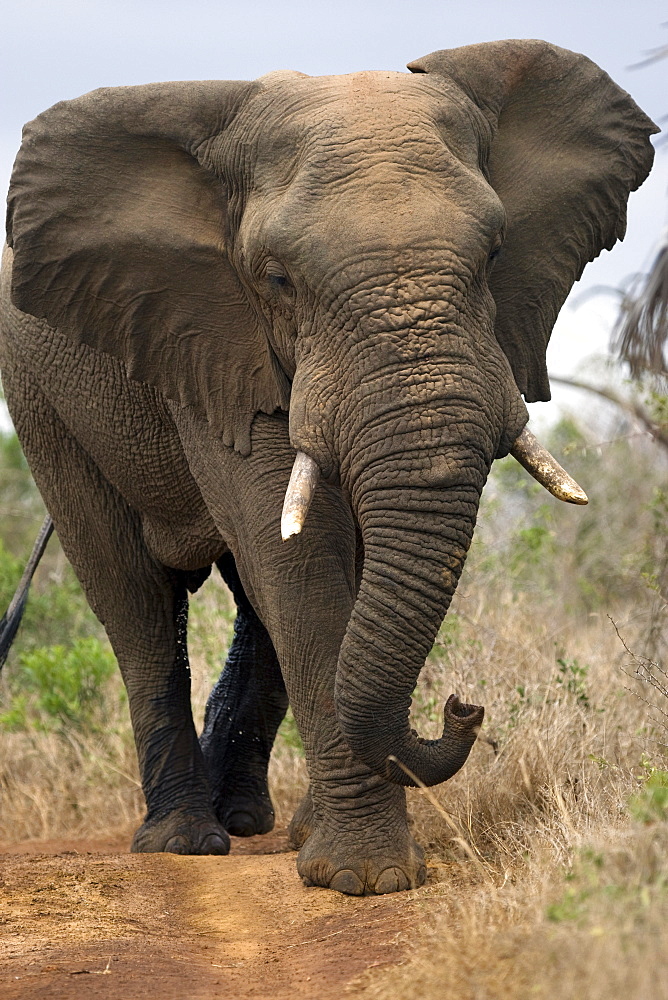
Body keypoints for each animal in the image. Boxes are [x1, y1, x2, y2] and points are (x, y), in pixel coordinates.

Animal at [0, 43, 656, 896]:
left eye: (495, 255)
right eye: (277, 278)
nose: (463, 707)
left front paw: (345, 862)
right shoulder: (214, 334)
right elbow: (298, 560)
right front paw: (365, 879)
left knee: (249, 606)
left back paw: (255, 823)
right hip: (42, 401)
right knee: (133, 597)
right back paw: (185, 840)